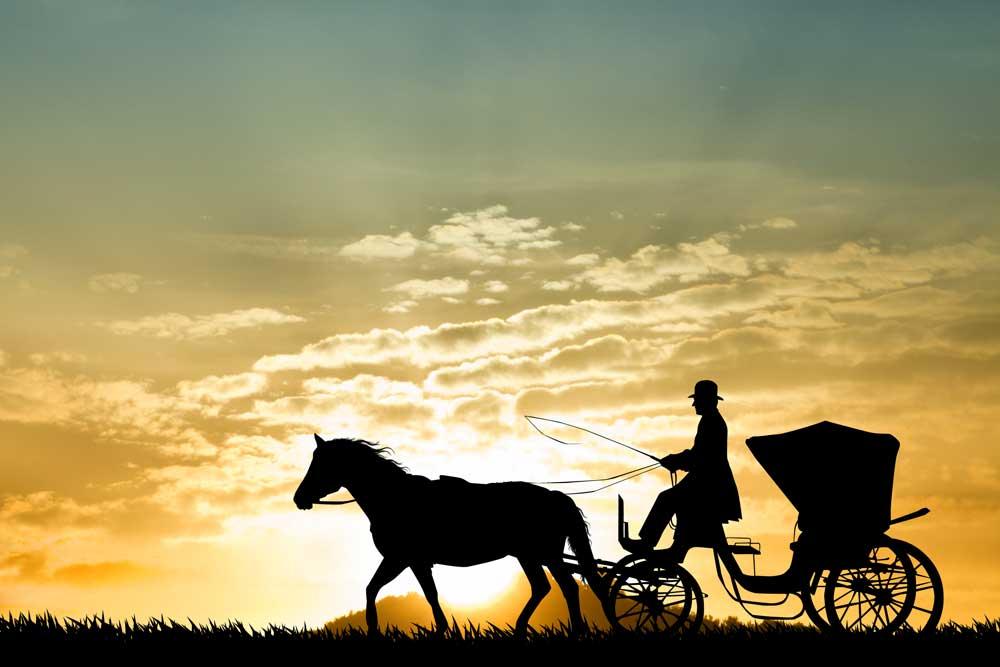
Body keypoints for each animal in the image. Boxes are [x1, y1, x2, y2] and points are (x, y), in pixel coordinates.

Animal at [293, 434, 606, 635]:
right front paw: (440, 629)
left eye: (321, 464)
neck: (395, 497)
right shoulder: (412, 561)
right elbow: (423, 593)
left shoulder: (401, 559)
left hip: (545, 554)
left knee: (568, 587)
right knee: (543, 587)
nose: (299, 498)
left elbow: (381, 590)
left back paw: (575, 631)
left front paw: (375, 630)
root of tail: (556, 497)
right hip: (529, 556)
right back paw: (521, 629)